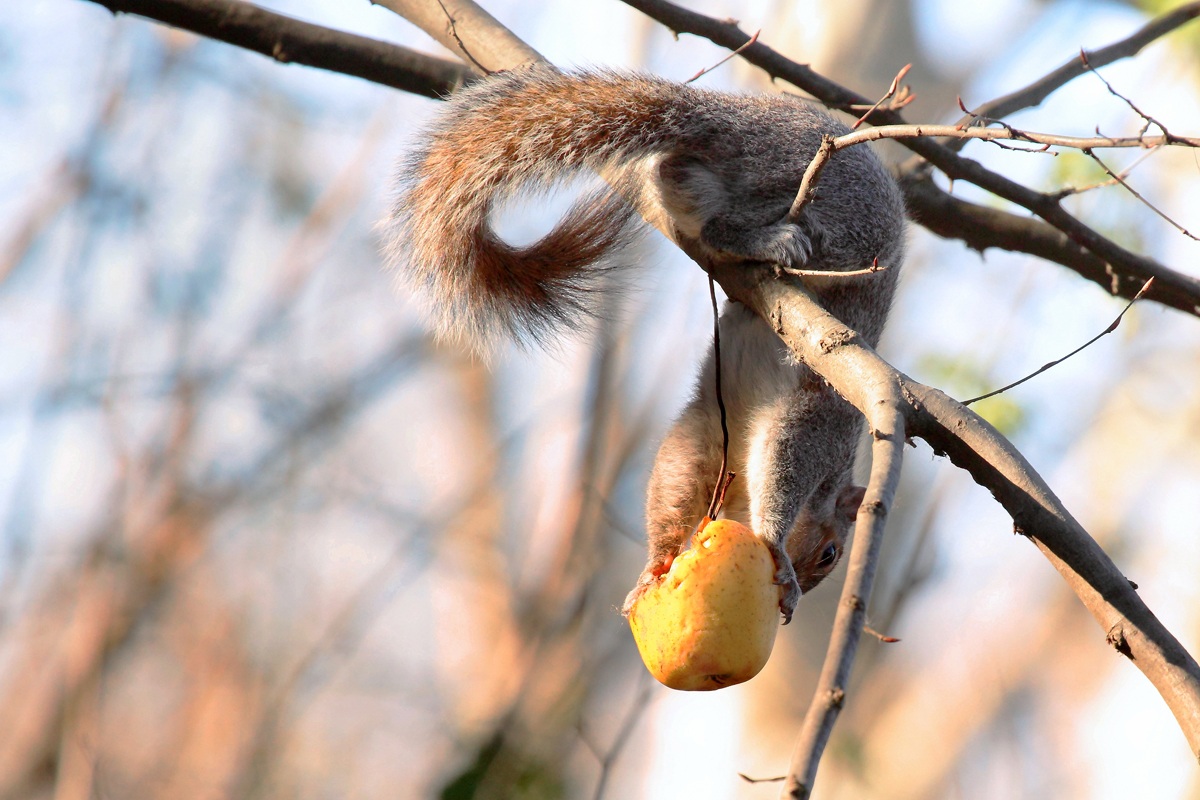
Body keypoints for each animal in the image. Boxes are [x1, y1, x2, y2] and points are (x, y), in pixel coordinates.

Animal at [383, 64, 906, 623]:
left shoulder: (707, 429)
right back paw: (767, 241)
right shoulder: (818, 416)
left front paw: (655, 565)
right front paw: (775, 549)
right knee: (735, 226)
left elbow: (676, 477)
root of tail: (732, 124)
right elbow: (784, 463)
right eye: (830, 553)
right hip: (832, 209)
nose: (799, 600)